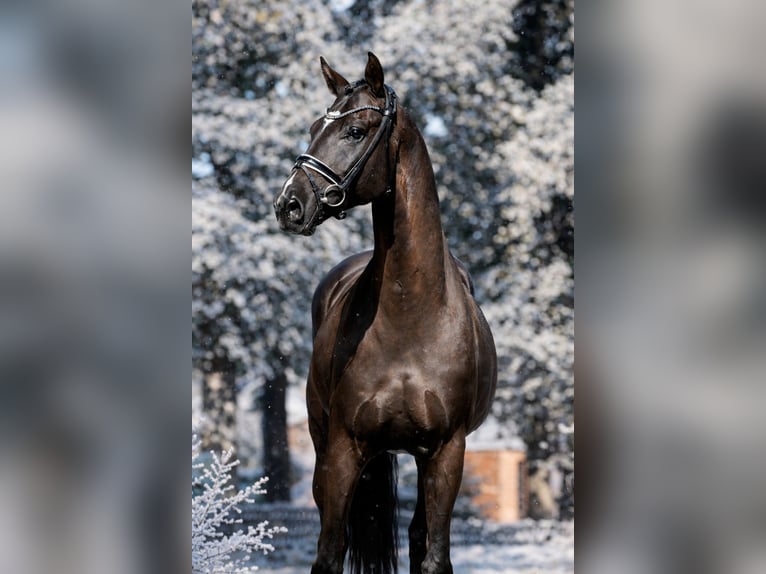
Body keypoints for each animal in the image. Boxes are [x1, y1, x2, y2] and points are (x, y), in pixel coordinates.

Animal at [273, 53, 497, 574]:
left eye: (355, 131)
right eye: (314, 127)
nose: (289, 204)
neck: (409, 314)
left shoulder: (447, 452)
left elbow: (433, 555)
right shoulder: (341, 450)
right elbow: (329, 552)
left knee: (417, 536)